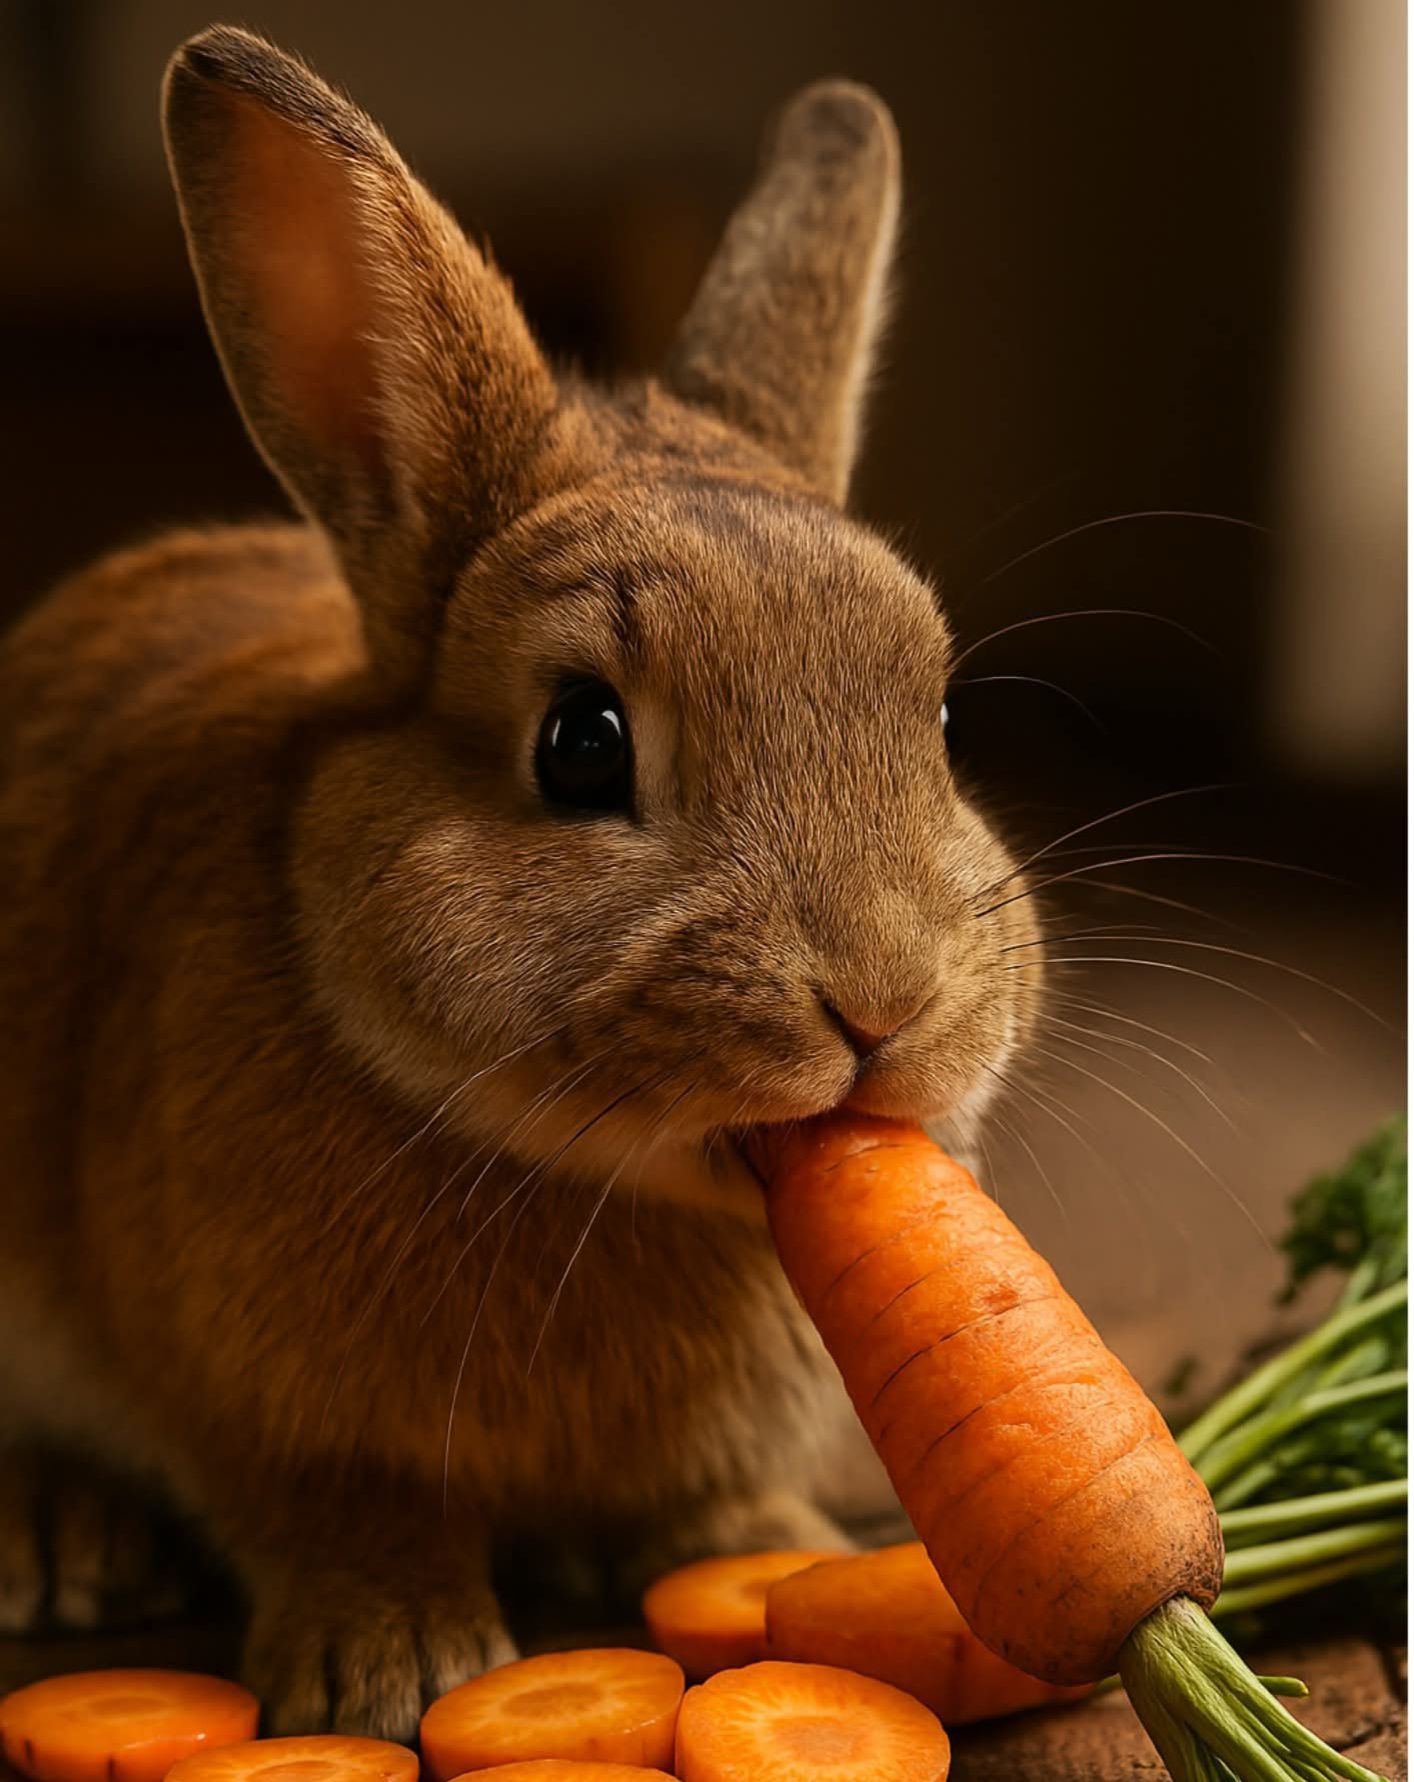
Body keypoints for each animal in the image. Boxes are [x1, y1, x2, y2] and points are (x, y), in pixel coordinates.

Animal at [0, 24, 1042, 1740]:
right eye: (580, 741)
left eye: (942, 720)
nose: (882, 1001)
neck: (578, 1173)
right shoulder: (266, 1409)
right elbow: (337, 1507)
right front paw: (393, 1664)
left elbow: (701, 1513)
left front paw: (777, 1552)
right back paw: (59, 1544)